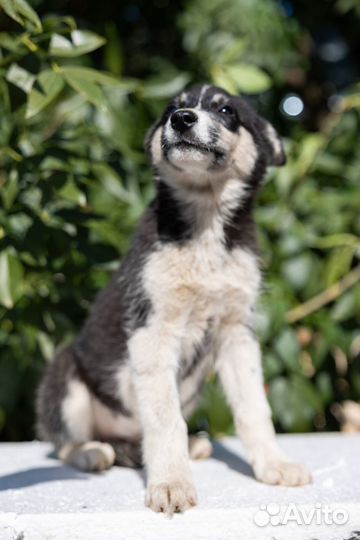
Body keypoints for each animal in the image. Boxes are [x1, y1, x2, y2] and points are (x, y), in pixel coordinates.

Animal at [37, 84, 312, 516]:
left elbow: (255, 409)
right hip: (65, 375)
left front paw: (275, 464)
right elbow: (166, 419)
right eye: (171, 107)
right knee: (61, 443)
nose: (181, 119)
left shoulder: (236, 332)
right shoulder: (152, 328)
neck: (206, 222)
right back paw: (92, 452)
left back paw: (192, 445)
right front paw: (171, 484)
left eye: (226, 110)